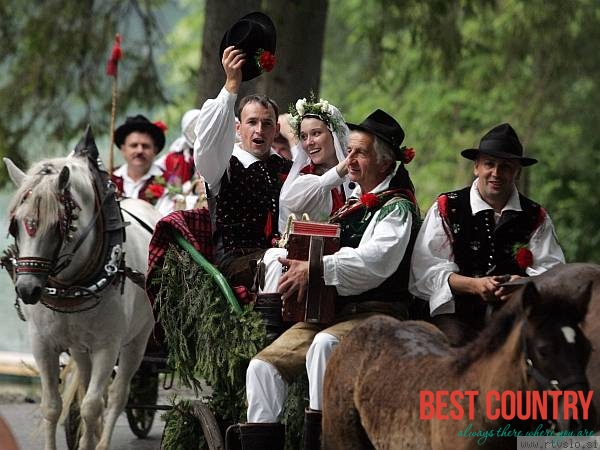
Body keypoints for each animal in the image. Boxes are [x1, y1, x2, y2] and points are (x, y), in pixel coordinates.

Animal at [2, 126, 162, 450]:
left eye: (58, 226)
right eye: (16, 225)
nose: (27, 290)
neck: (73, 283)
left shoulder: (107, 346)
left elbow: (92, 405)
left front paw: (92, 442)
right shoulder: (43, 343)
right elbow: (54, 406)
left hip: (136, 340)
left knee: (116, 395)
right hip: (79, 347)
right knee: (88, 385)